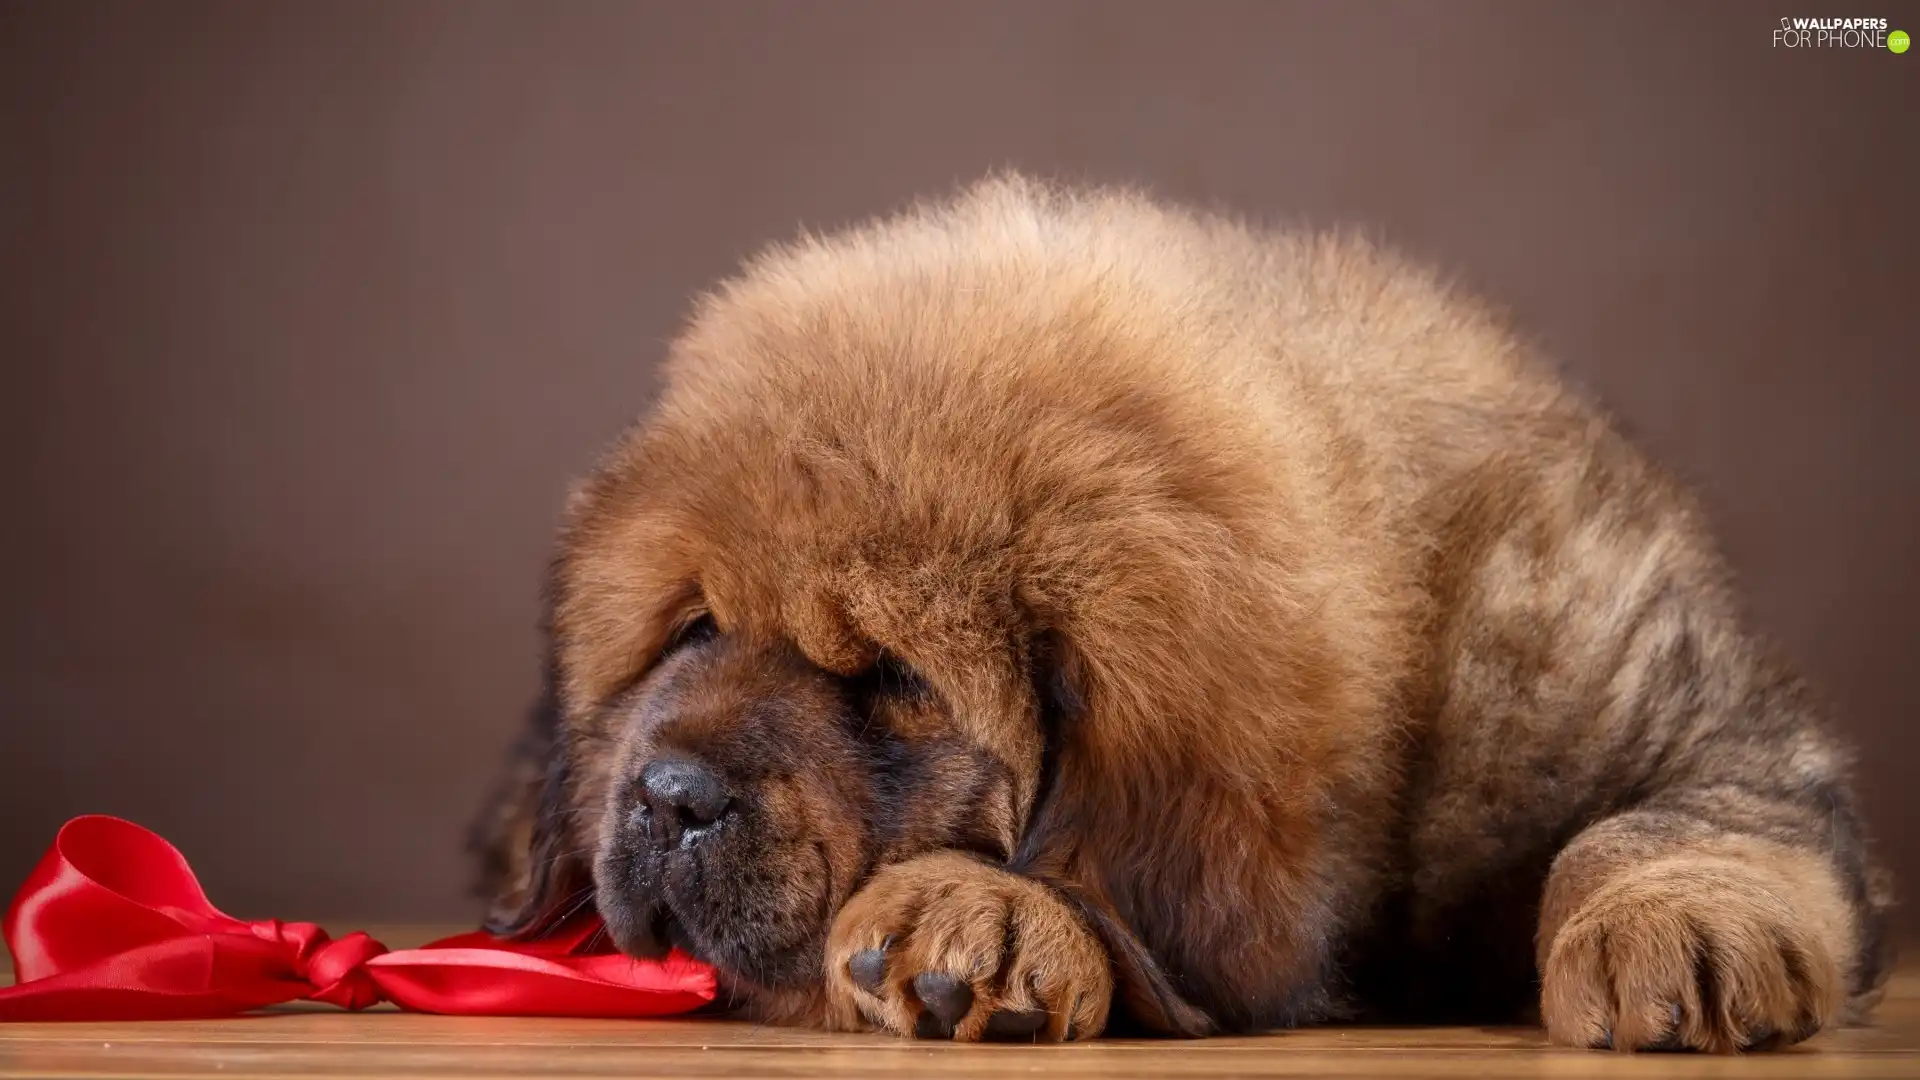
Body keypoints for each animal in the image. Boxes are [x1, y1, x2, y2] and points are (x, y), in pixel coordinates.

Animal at [468, 174, 1889, 1045]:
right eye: (693, 629)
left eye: (893, 680)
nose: (668, 798)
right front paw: (991, 919)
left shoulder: (1698, 724)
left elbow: (1653, 827)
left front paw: (1678, 929)